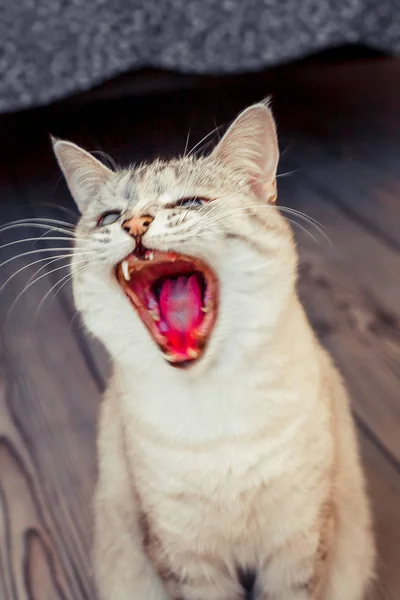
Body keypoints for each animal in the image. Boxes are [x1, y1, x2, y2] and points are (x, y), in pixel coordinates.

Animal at [52, 103, 376, 600]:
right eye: (109, 217)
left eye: (189, 204)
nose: (134, 224)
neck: (213, 407)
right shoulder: (183, 553)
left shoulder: (298, 541)